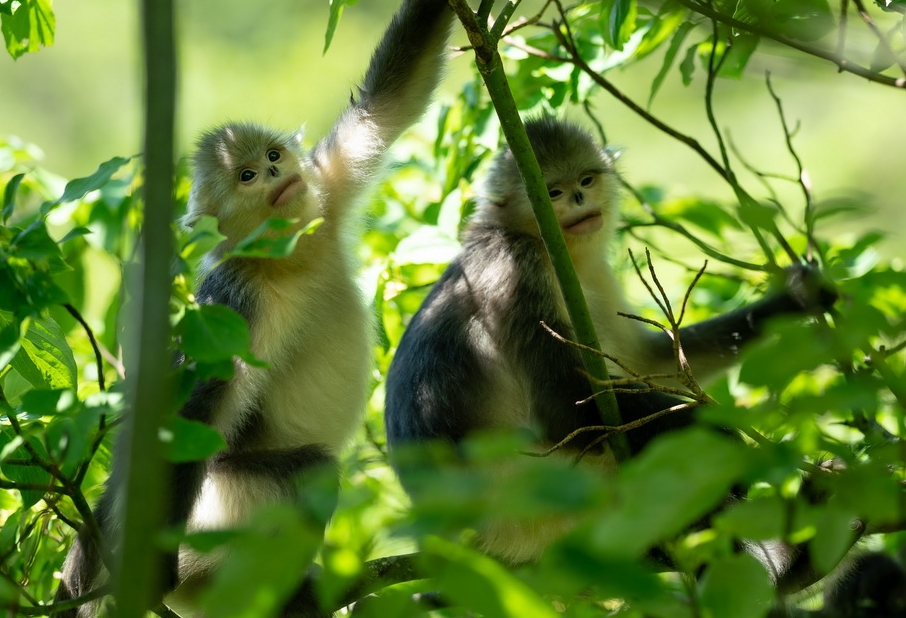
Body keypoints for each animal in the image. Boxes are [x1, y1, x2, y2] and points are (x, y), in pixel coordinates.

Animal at [51, 2, 452, 612]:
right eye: (245, 176)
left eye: (272, 156)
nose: (274, 175)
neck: (288, 259)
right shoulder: (236, 301)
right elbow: (192, 413)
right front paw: (146, 571)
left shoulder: (324, 188)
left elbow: (392, 95)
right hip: (224, 510)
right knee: (310, 467)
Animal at [384, 119, 832, 576]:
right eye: (553, 192)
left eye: (585, 180)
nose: (579, 199)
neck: (543, 244)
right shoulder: (515, 264)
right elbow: (563, 406)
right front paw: (722, 432)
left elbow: (651, 361)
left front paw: (798, 298)